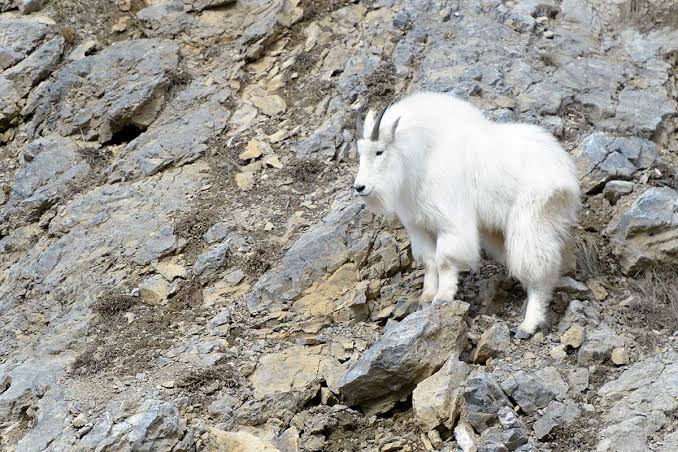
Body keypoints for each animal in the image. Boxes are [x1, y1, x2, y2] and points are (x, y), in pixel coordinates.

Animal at [353, 92, 580, 338]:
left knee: (538, 269)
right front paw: (426, 297)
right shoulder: (419, 227)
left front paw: (443, 297)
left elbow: (444, 260)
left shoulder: (450, 222)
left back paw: (528, 324)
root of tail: (564, 168)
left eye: (379, 151)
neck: (421, 155)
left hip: (531, 219)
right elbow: (429, 261)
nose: (360, 187)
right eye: (360, 153)